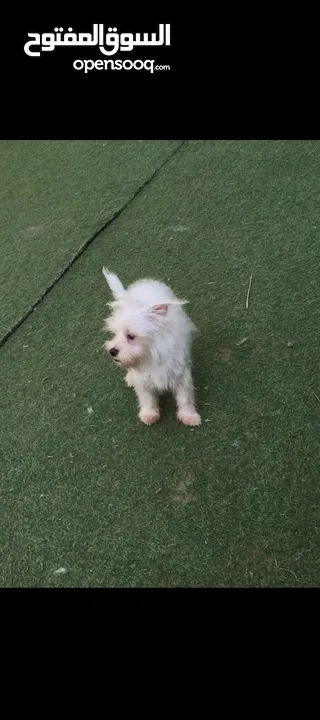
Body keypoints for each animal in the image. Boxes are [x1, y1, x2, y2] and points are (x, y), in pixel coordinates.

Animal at [102, 268, 201, 428]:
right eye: (114, 334)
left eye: (130, 336)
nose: (112, 351)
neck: (151, 355)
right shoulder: (143, 379)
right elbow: (146, 398)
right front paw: (149, 415)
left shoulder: (180, 375)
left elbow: (185, 397)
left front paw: (190, 417)